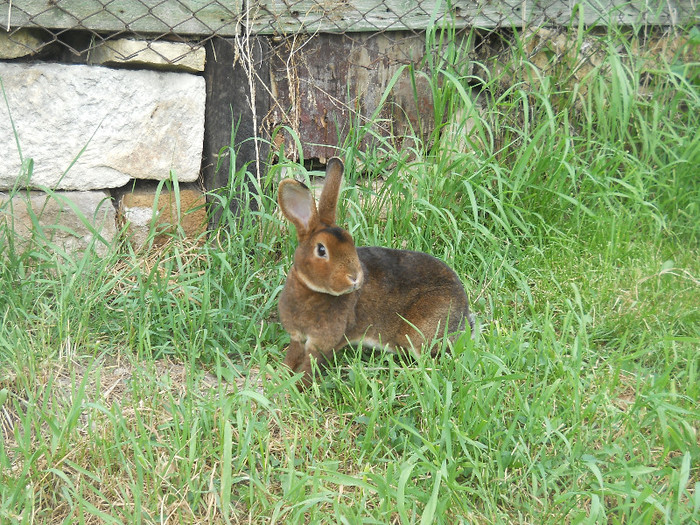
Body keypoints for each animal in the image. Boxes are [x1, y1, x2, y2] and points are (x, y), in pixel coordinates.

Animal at [276, 158, 474, 386]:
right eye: (321, 250)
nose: (354, 278)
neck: (312, 291)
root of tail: (463, 310)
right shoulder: (298, 338)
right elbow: (292, 357)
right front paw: (281, 377)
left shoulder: (321, 343)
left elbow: (310, 367)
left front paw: (297, 387)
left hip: (420, 330)